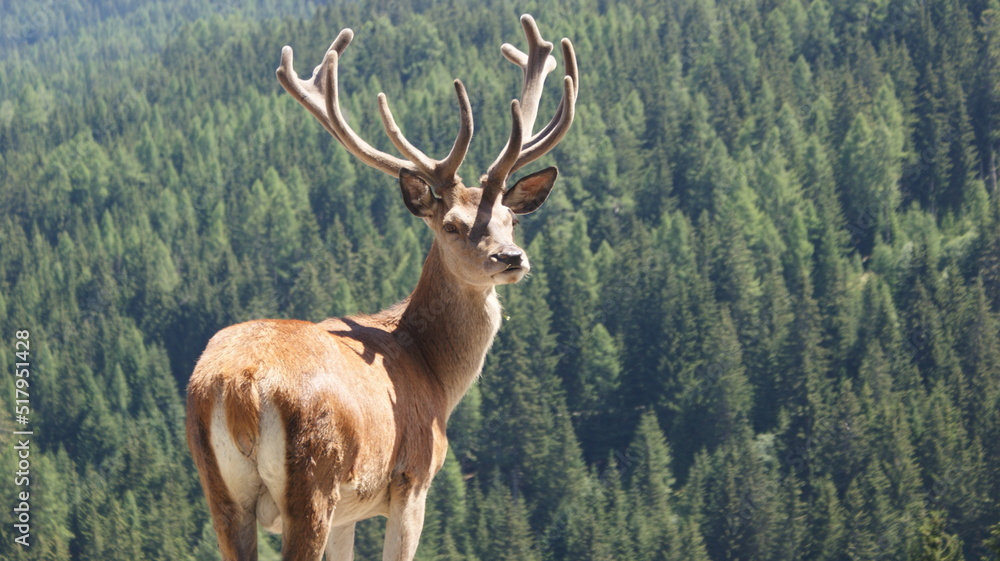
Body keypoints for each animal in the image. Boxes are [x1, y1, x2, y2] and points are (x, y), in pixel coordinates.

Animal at [185, 14, 578, 561]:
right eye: (451, 225)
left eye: (511, 220)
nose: (510, 258)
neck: (434, 376)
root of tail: (239, 387)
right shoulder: (412, 478)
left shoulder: (350, 514)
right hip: (313, 480)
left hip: (220, 490)